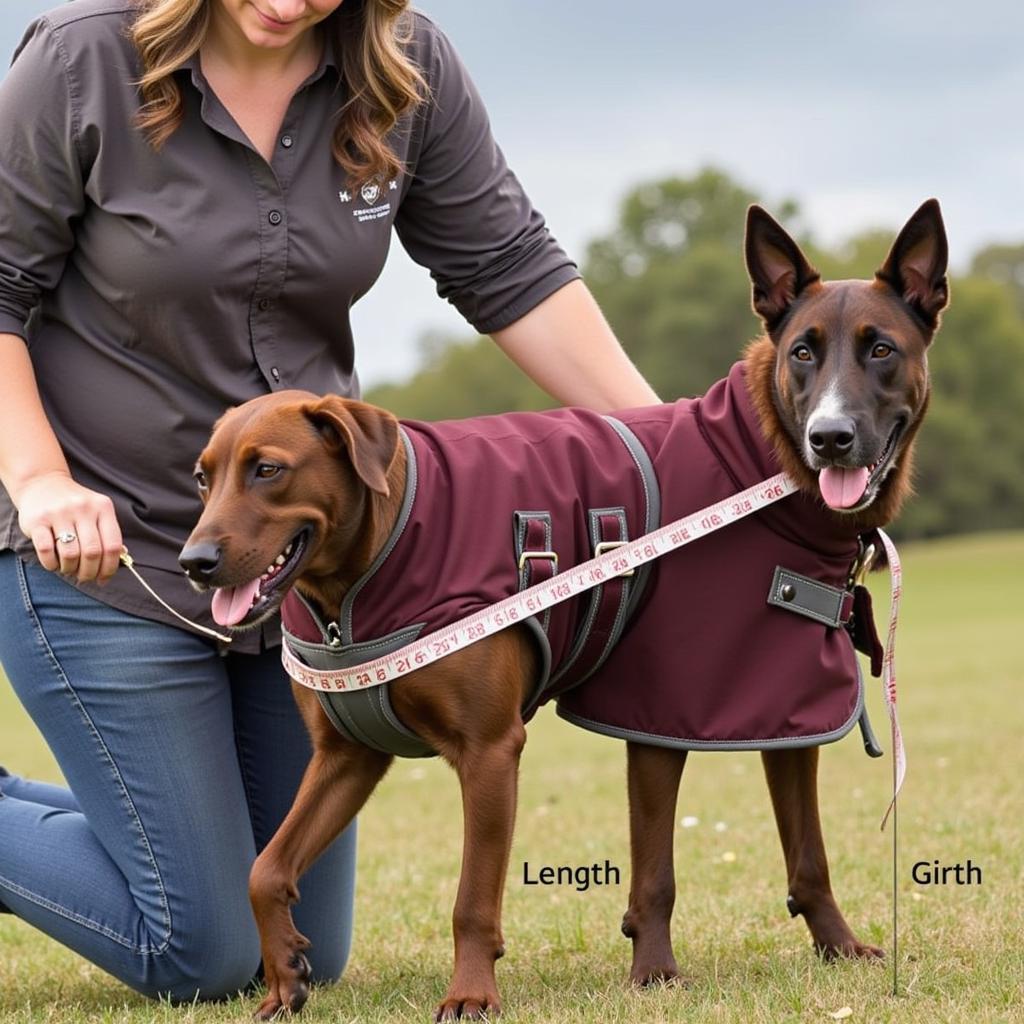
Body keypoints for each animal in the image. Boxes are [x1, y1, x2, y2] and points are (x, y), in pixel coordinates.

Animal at [180, 199, 946, 1015]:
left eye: (268, 470)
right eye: (203, 477)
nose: (193, 563)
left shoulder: (513, 747)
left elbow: (486, 897)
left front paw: (484, 993)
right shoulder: (351, 753)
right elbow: (264, 870)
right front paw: (284, 974)